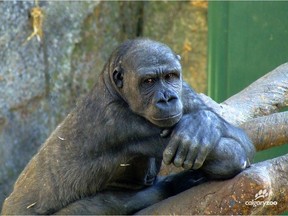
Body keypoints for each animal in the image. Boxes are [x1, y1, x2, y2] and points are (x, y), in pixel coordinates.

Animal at [1, 38, 254, 214]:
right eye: (149, 81)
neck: (112, 88)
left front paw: (202, 124)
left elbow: (242, 141)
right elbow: (230, 155)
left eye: (171, 76)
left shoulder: (183, 89)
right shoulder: (120, 123)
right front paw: (199, 129)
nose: (166, 99)